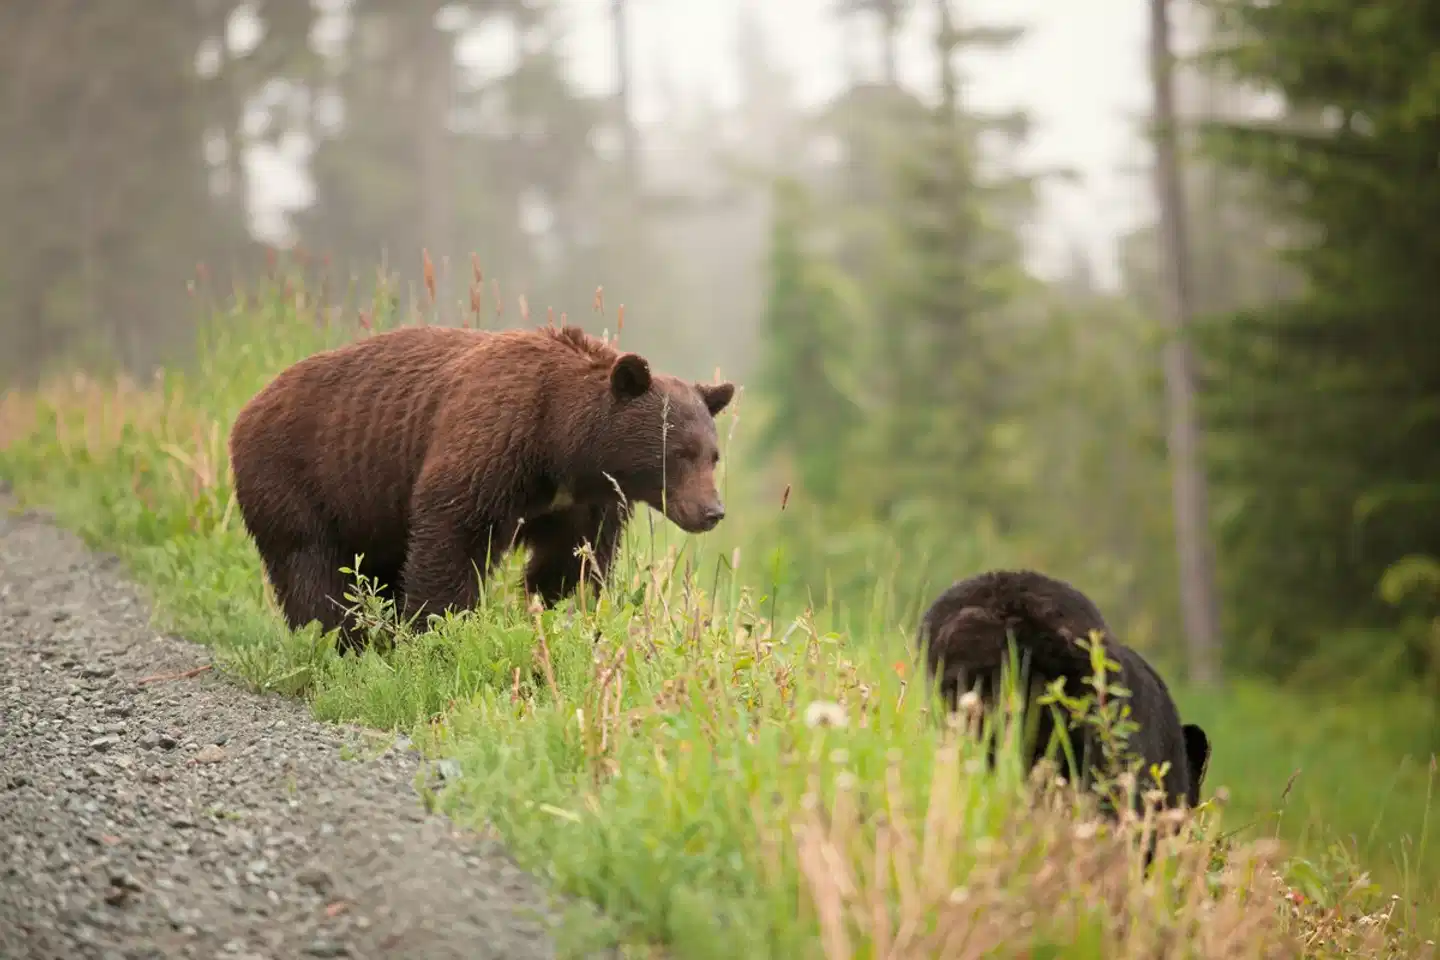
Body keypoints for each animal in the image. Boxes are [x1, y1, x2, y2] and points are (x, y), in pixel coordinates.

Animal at [227, 322, 736, 652]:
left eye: (713, 455)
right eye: (680, 453)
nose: (712, 511)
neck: (563, 445)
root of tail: (248, 407)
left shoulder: (583, 501)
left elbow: (573, 559)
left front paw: (555, 608)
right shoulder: (494, 442)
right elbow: (454, 531)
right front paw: (438, 627)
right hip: (295, 477)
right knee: (311, 567)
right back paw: (343, 639)